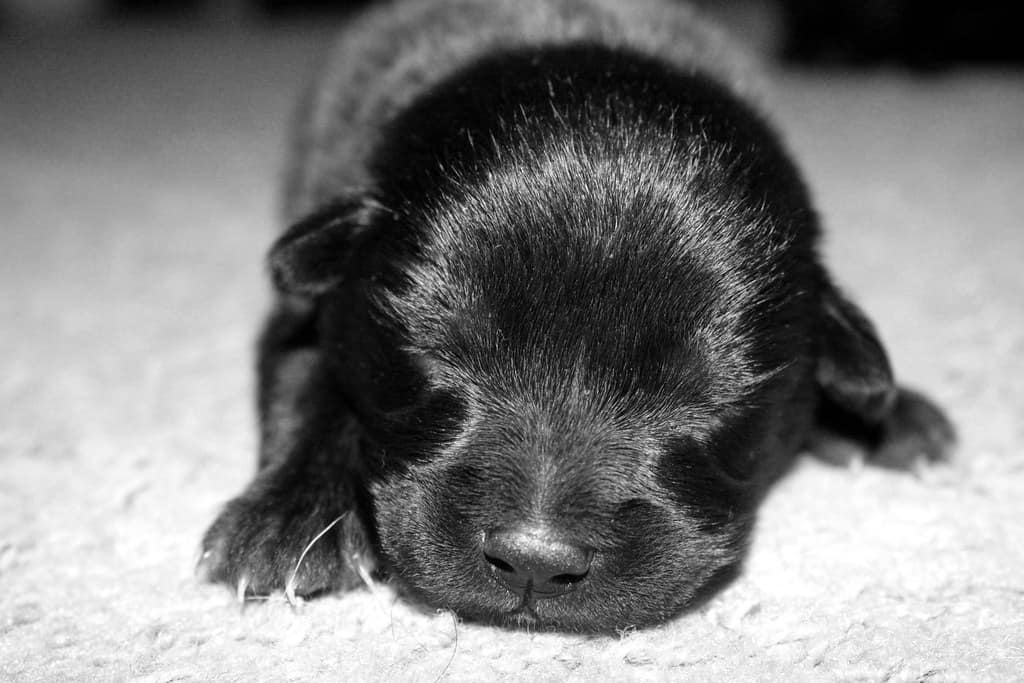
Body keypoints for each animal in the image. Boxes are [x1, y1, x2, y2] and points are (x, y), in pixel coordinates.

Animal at [197, 0, 950, 634]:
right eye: (438, 353)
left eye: (702, 395)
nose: (534, 560)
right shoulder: (309, 292)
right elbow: (306, 377)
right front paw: (292, 518)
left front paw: (885, 413)